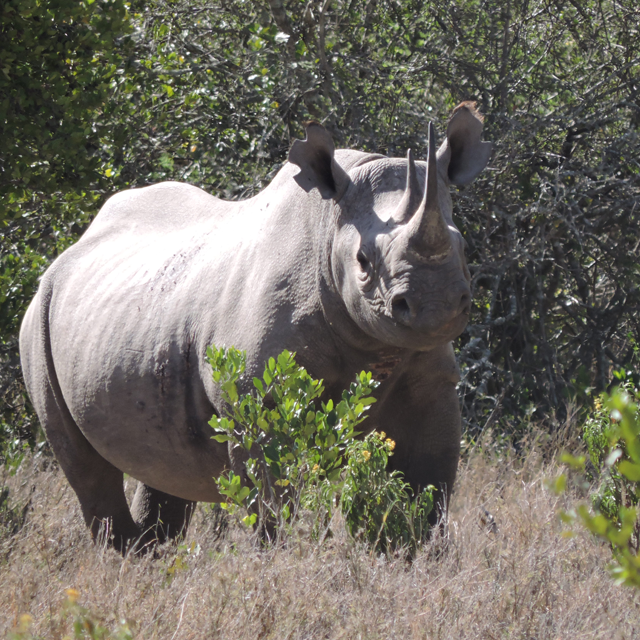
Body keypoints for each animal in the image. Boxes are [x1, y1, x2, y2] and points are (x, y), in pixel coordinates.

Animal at [19, 102, 491, 550]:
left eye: (463, 245)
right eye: (362, 261)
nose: (436, 306)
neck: (329, 227)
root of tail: (70, 249)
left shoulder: (430, 379)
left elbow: (426, 486)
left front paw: (419, 554)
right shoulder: (257, 392)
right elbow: (273, 493)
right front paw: (278, 557)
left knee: (161, 463)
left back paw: (150, 555)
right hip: (37, 318)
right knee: (85, 467)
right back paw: (122, 555)